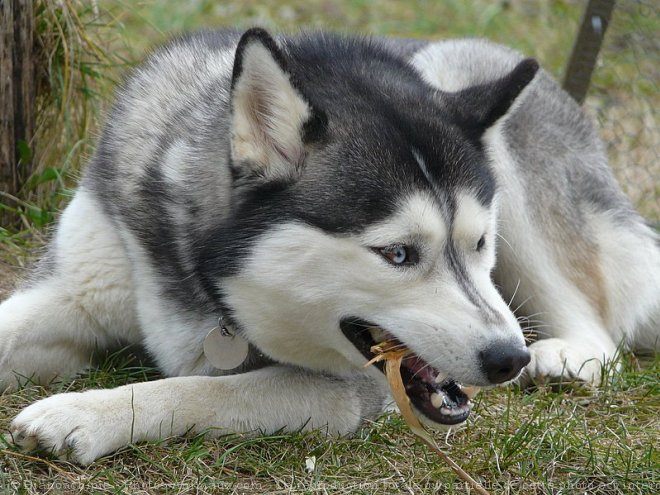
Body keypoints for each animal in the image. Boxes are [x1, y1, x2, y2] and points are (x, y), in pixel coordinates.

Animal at [1, 28, 660, 464]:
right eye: (397, 254)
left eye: (479, 243)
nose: (507, 359)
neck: (202, 273)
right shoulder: (81, 281)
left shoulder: (347, 392)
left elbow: (198, 387)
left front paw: (84, 412)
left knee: (599, 327)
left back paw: (564, 358)